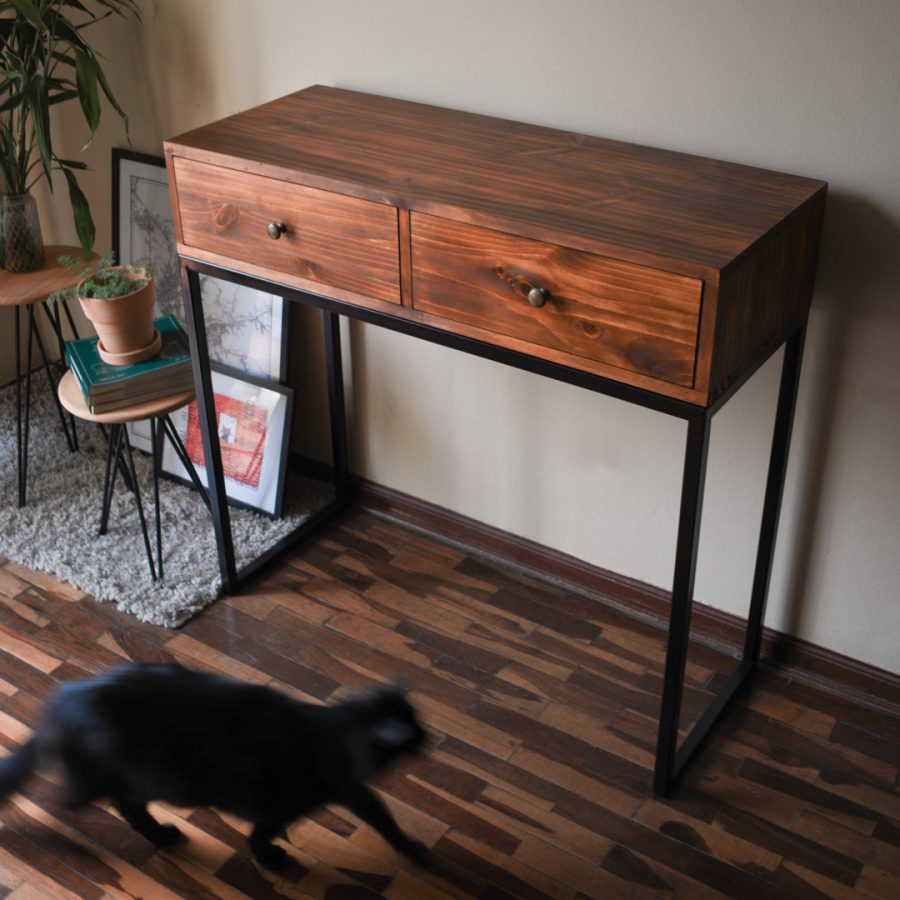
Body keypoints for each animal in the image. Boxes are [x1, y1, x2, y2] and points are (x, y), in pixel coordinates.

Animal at [0, 664, 428, 868]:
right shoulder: (285, 805)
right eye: (413, 729)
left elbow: (382, 816)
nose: (429, 737)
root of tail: (67, 696)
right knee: (74, 798)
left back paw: (162, 835)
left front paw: (408, 848)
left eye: (418, 718)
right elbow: (259, 837)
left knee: (127, 806)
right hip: (138, 775)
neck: (337, 734)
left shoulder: (354, 791)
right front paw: (271, 861)